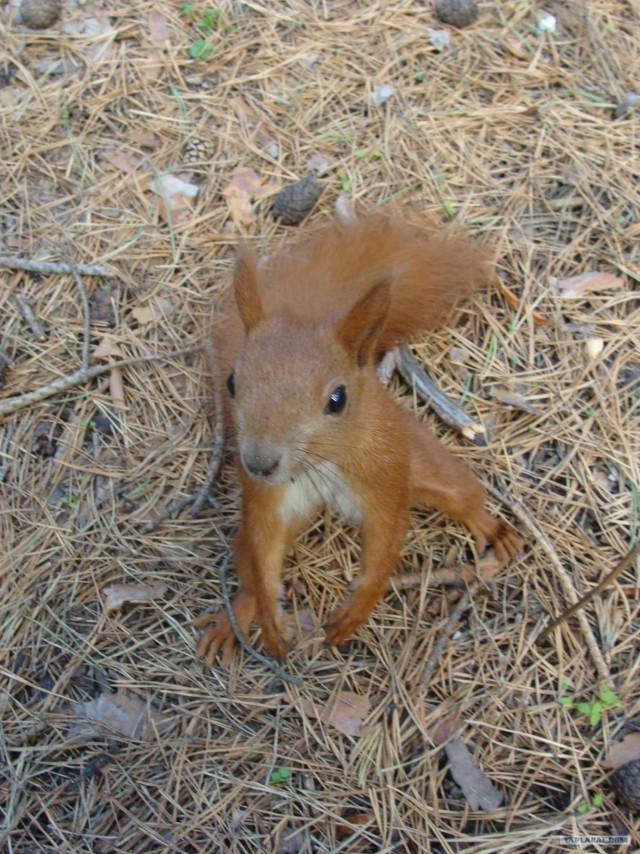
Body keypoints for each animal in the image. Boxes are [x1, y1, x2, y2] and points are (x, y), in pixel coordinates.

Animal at [198, 212, 524, 664]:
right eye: (231, 381)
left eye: (337, 400)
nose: (259, 463)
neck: (319, 462)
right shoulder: (267, 501)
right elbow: (264, 551)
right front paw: (268, 615)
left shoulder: (385, 479)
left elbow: (387, 540)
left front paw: (357, 610)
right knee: (246, 560)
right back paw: (237, 615)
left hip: (421, 455)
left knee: (461, 494)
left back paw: (490, 526)